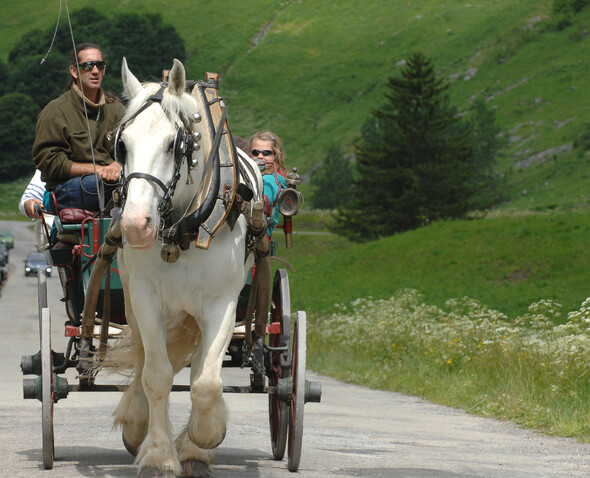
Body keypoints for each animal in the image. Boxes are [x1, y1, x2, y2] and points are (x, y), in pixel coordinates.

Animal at [112, 58, 264, 478]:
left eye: (173, 145)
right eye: (122, 145)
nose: (136, 225)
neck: (181, 231)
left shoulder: (222, 304)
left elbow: (206, 383)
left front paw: (203, 439)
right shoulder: (145, 297)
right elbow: (156, 374)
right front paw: (158, 454)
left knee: (199, 370)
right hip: (131, 299)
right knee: (145, 361)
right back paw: (137, 422)